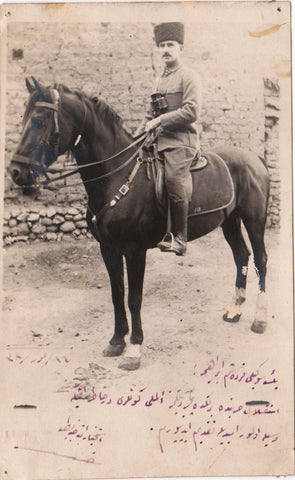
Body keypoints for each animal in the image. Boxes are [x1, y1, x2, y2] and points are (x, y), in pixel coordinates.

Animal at [9, 79, 270, 372]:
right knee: (241, 256)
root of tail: (254, 158)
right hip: (230, 221)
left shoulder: (135, 251)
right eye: (24, 118)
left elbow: (134, 298)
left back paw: (259, 320)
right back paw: (235, 310)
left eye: (40, 120)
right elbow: (116, 294)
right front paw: (116, 341)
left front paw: (134, 349)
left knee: (260, 260)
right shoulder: (108, 249)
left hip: (254, 220)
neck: (117, 176)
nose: (16, 172)